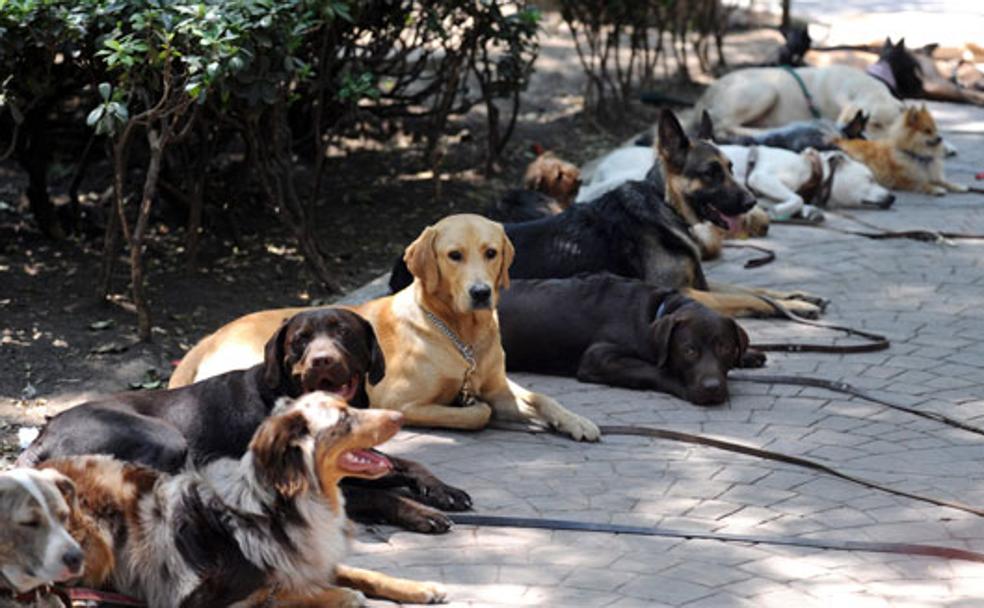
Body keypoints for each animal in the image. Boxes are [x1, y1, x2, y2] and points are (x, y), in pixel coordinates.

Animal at [19, 308, 470, 532]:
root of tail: (40, 436)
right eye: (300, 340)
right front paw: (422, 513)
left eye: (343, 333)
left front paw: (443, 490)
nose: (322, 360)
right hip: (164, 436)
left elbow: (405, 462)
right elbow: (383, 494)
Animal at [38, 392, 446, 608]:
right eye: (344, 419)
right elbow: (305, 592)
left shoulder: (307, 557)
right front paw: (341, 595)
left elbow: (362, 573)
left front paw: (420, 588)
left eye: (350, 405)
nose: (401, 415)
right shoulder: (215, 599)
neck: (285, 505)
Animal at [169, 215, 600, 442]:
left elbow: (542, 397)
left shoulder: (497, 384)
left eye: (491, 253)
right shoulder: (400, 402)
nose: (480, 293)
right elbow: (475, 413)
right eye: (454, 256)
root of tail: (207, 338)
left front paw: (574, 420)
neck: (462, 336)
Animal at [500, 274, 768, 406]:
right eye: (689, 351)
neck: (657, 310)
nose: (712, 387)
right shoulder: (598, 357)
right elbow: (652, 370)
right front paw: (679, 383)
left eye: (725, 348)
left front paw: (749, 354)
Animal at [836, 104, 968, 195]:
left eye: (935, 130)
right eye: (927, 131)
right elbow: (922, 183)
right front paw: (935, 189)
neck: (919, 157)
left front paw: (959, 186)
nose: (940, 138)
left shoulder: (933, 175)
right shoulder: (903, 180)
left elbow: (945, 182)